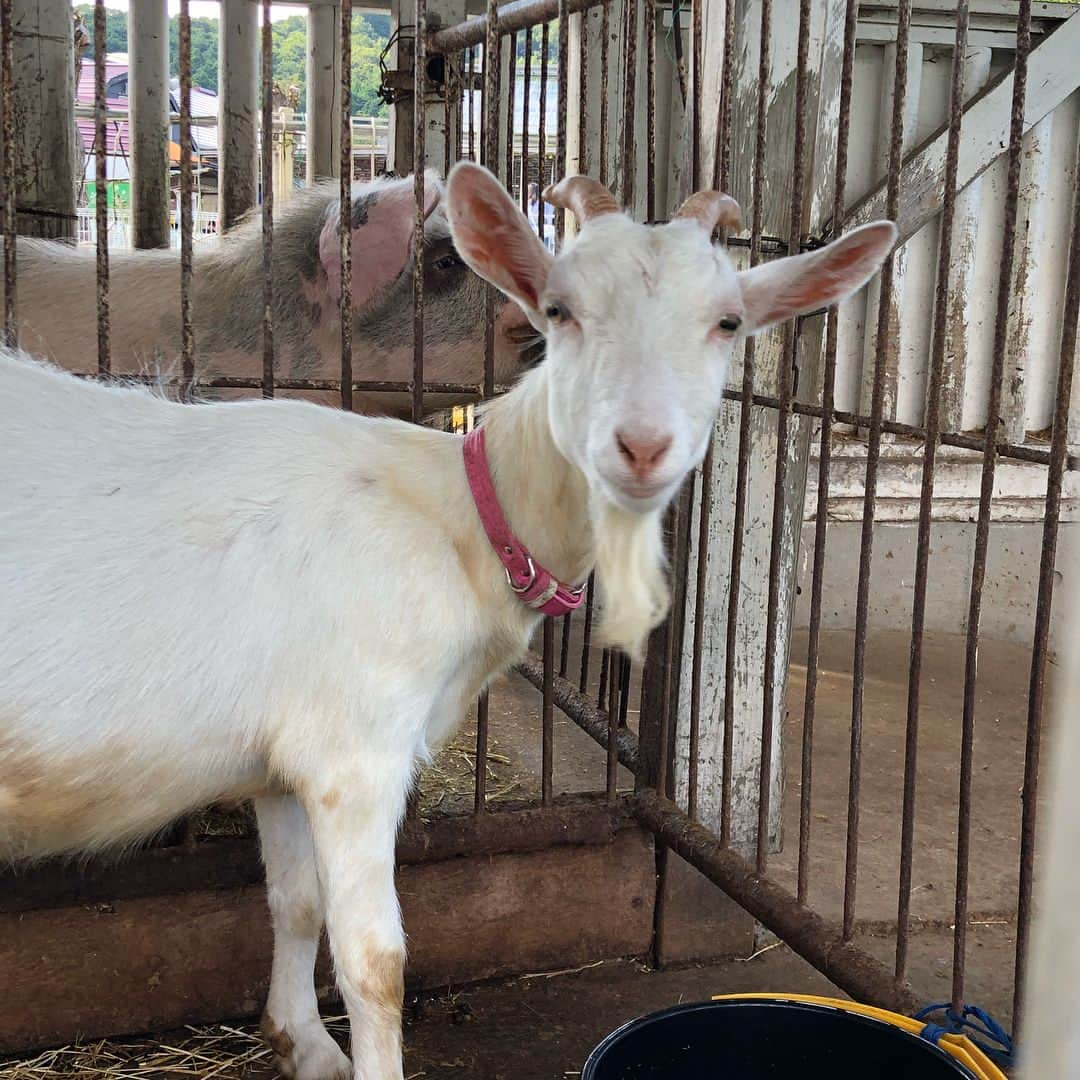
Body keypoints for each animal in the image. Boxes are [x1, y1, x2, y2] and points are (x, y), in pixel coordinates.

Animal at [0, 162, 894, 1080]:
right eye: (559, 309)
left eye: (727, 321)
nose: (641, 446)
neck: (460, 518)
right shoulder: (356, 749)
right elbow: (375, 962)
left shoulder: (286, 756)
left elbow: (294, 902)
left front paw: (303, 1043)